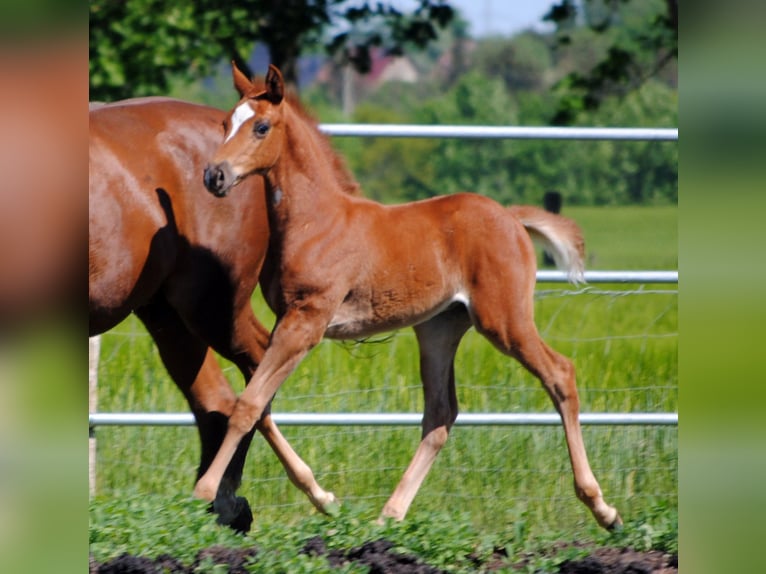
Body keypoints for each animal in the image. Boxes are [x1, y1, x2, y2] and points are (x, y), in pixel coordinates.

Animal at [88, 97, 338, 532]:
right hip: (168, 314)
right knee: (218, 401)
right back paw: (220, 506)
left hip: (211, 309)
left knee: (255, 374)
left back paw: (234, 500)